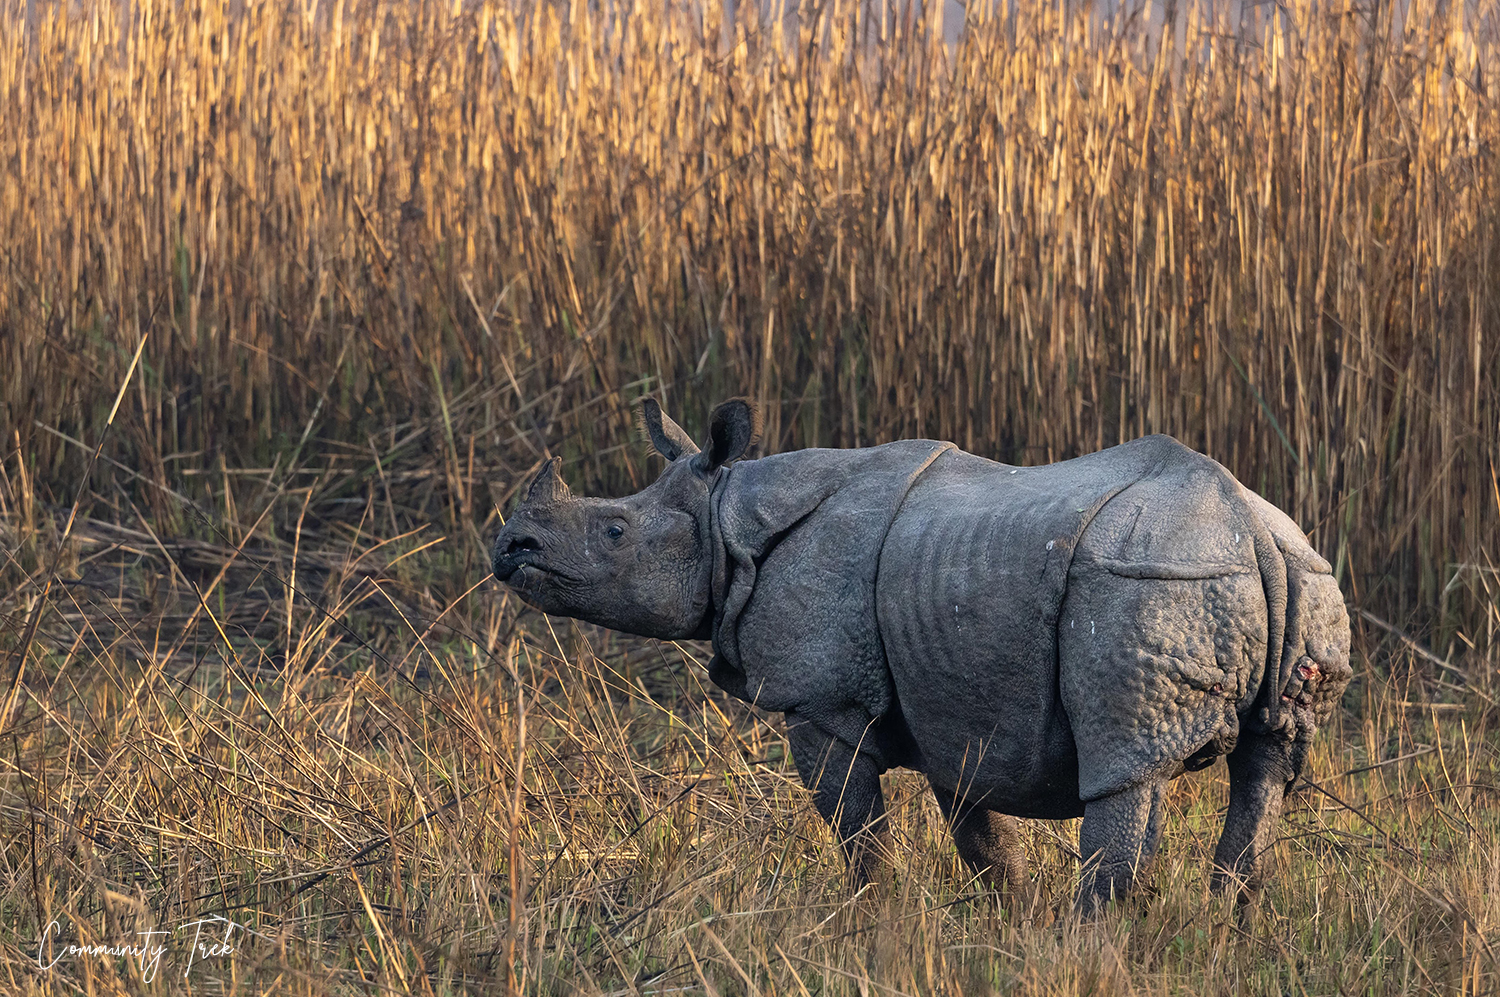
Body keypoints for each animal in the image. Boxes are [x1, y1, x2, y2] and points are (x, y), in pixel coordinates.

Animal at [490, 398, 1352, 914]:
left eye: (613, 531)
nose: (508, 547)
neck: (727, 516)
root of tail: (1253, 529)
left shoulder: (822, 700)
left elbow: (856, 826)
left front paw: (869, 921)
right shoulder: (953, 699)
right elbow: (980, 830)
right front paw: (1009, 922)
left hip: (1150, 581)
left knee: (1125, 766)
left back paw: (1096, 941)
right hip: (1300, 576)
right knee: (1270, 766)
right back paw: (1224, 926)